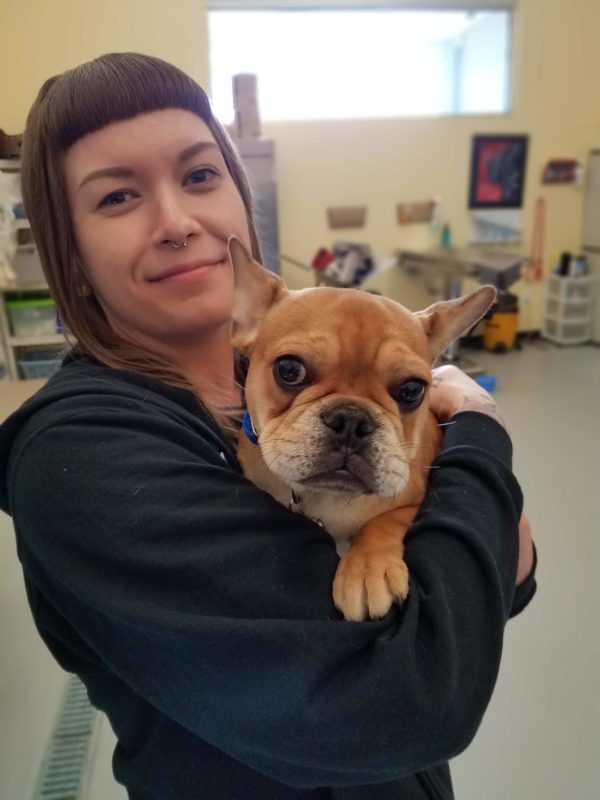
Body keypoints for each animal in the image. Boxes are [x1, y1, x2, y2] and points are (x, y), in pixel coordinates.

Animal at [227, 234, 494, 620]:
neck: (326, 498)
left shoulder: (412, 498)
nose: (351, 420)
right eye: (289, 370)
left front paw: (368, 568)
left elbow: (384, 523)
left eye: (412, 390)